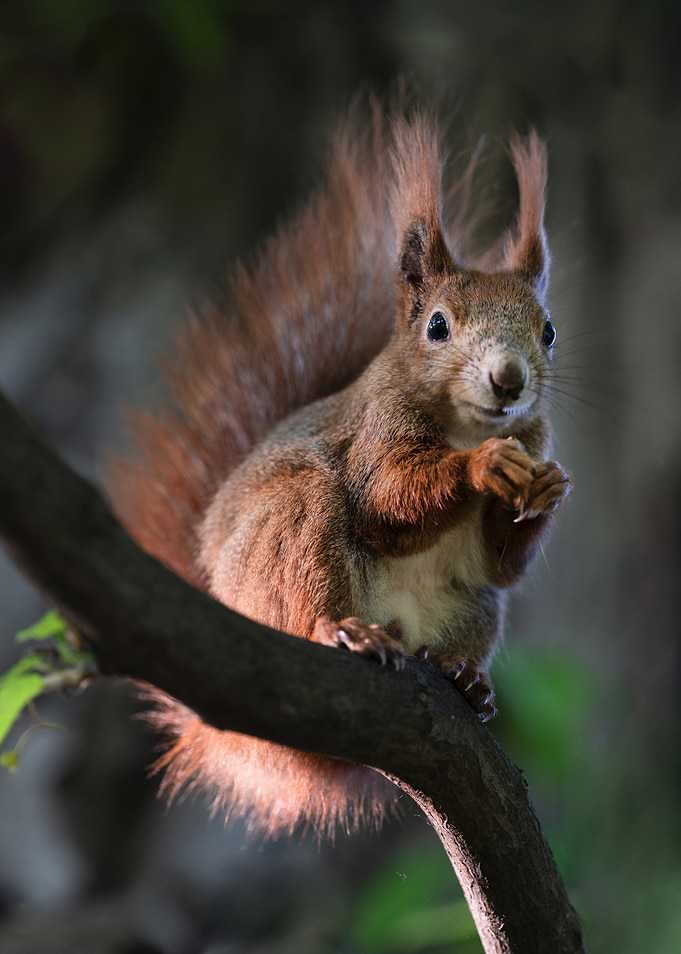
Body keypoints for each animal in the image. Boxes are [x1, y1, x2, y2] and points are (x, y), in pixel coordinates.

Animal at [110, 103, 571, 838]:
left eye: (548, 330)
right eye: (437, 327)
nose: (508, 380)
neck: (464, 423)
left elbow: (503, 564)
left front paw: (546, 488)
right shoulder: (373, 436)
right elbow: (386, 501)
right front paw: (481, 465)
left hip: (471, 608)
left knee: (475, 605)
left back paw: (463, 677)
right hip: (294, 528)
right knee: (312, 584)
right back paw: (339, 630)